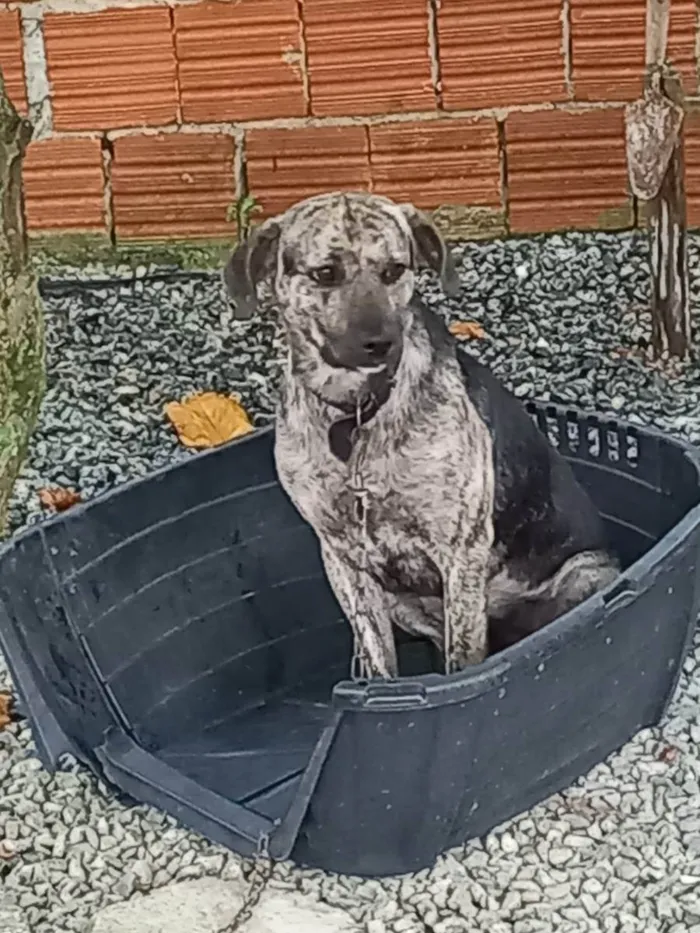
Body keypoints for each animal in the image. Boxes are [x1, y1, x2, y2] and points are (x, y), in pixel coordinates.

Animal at [223, 189, 616, 676]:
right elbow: (377, 660)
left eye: (395, 270)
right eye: (326, 273)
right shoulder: (343, 559)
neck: (358, 411)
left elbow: (462, 661)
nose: (380, 343)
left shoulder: (461, 552)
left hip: (585, 575)